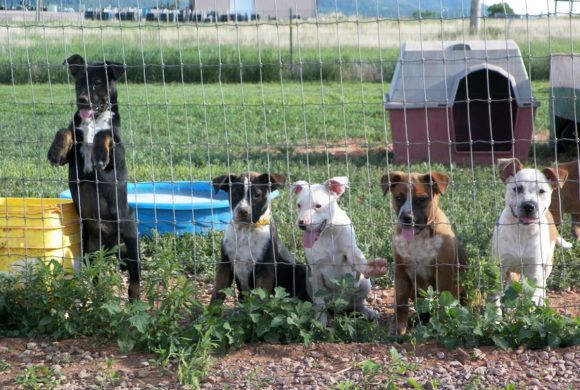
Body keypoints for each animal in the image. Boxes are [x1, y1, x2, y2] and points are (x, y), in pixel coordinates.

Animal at [46, 53, 139, 300]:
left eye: (98, 83)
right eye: (79, 82)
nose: (82, 100)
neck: (93, 120)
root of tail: (110, 244)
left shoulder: (115, 159)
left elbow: (105, 134)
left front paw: (98, 153)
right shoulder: (71, 154)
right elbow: (64, 130)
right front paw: (55, 150)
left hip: (131, 240)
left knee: (135, 280)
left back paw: (134, 301)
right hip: (90, 250)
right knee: (96, 276)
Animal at [292, 177, 388, 322]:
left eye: (318, 206)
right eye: (299, 205)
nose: (301, 224)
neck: (328, 233)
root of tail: (342, 306)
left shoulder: (350, 251)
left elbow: (358, 260)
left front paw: (374, 267)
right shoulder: (316, 272)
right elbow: (319, 303)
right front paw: (320, 322)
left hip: (364, 284)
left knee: (359, 303)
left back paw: (369, 312)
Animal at [380, 171, 466, 336]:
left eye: (422, 199)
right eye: (399, 197)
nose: (406, 218)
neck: (418, 237)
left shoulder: (443, 272)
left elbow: (442, 301)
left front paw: (441, 324)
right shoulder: (400, 272)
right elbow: (401, 304)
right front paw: (399, 328)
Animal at [492, 158, 568, 308]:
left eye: (542, 191)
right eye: (517, 189)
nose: (529, 205)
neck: (522, 231)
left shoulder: (535, 270)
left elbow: (535, 293)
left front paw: (534, 306)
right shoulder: (500, 266)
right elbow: (496, 293)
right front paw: (496, 313)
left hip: (548, 263)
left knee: (543, 282)